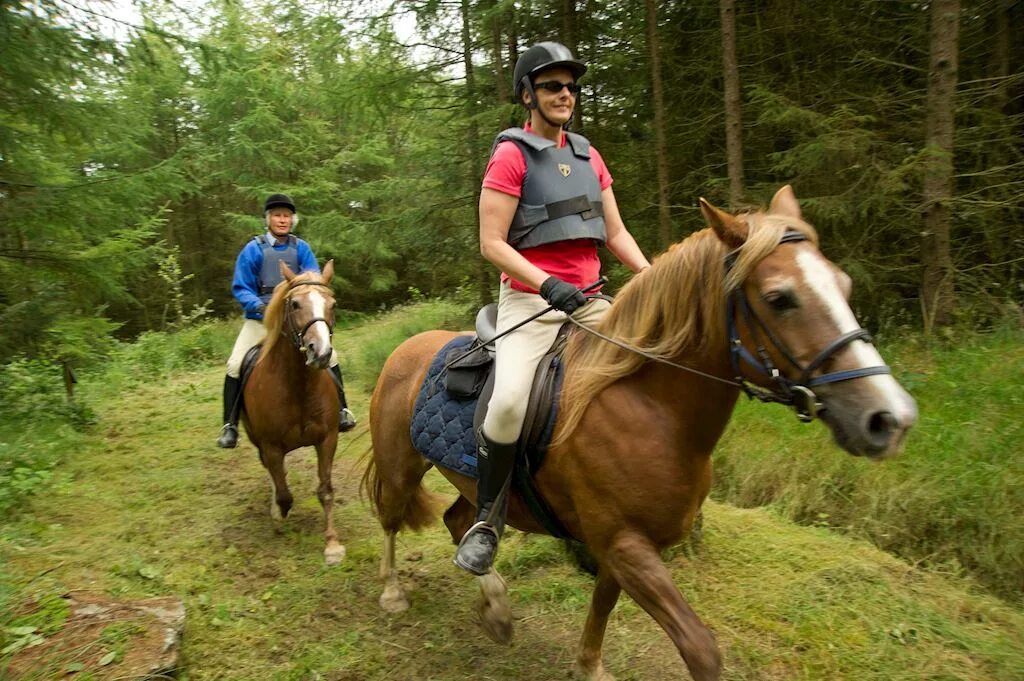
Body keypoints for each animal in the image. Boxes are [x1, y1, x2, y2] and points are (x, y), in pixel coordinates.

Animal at [241, 259, 346, 561]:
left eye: (332, 303)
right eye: (296, 304)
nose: (320, 352)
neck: (298, 387)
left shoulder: (327, 439)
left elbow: (325, 490)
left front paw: (332, 544)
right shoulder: (271, 446)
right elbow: (284, 493)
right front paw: (279, 515)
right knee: (273, 475)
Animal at [364, 186, 917, 679]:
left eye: (843, 285)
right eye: (780, 298)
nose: (889, 418)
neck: (650, 408)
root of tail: (408, 348)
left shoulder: (622, 547)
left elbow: (602, 608)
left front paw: (589, 667)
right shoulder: (626, 543)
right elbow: (699, 649)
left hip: (473, 484)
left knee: (460, 520)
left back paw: (496, 609)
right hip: (401, 465)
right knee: (390, 519)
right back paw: (392, 592)